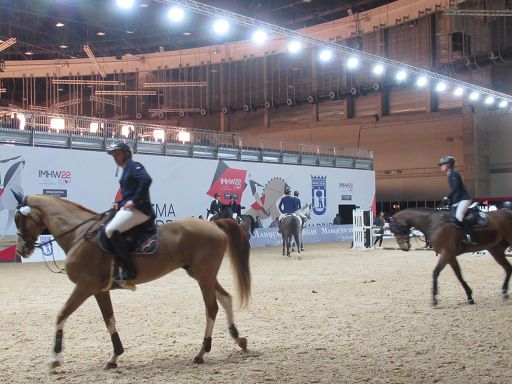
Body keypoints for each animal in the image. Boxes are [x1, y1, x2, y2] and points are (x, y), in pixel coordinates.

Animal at [13, 195, 250, 368]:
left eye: (19, 219)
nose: (22, 251)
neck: (80, 235)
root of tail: (215, 225)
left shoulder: (84, 286)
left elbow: (61, 315)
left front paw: (55, 359)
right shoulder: (99, 290)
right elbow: (109, 320)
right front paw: (114, 357)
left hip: (204, 276)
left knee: (211, 308)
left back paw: (202, 352)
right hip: (201, 275)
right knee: (225, 299)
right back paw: (239, 340)